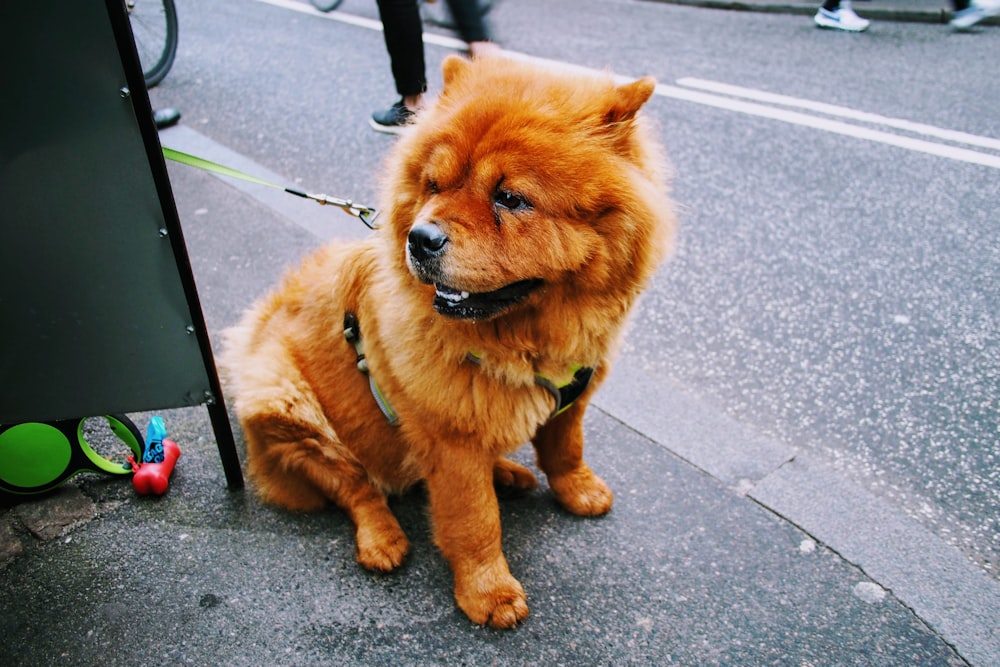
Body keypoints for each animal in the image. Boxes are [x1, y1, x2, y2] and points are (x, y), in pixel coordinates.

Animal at [223, 54, 676, 628]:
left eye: (510, 198)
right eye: (434, 184)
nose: (420, 238)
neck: (525, 346)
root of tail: (250, 334)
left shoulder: (574, 398)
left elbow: (565, 446)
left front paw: (579, 490)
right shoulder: (451, 441)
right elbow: (474, 520)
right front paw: (489, 595)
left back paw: (508, 473)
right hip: (284, 403)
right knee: (355, 485)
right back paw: (384, 540)